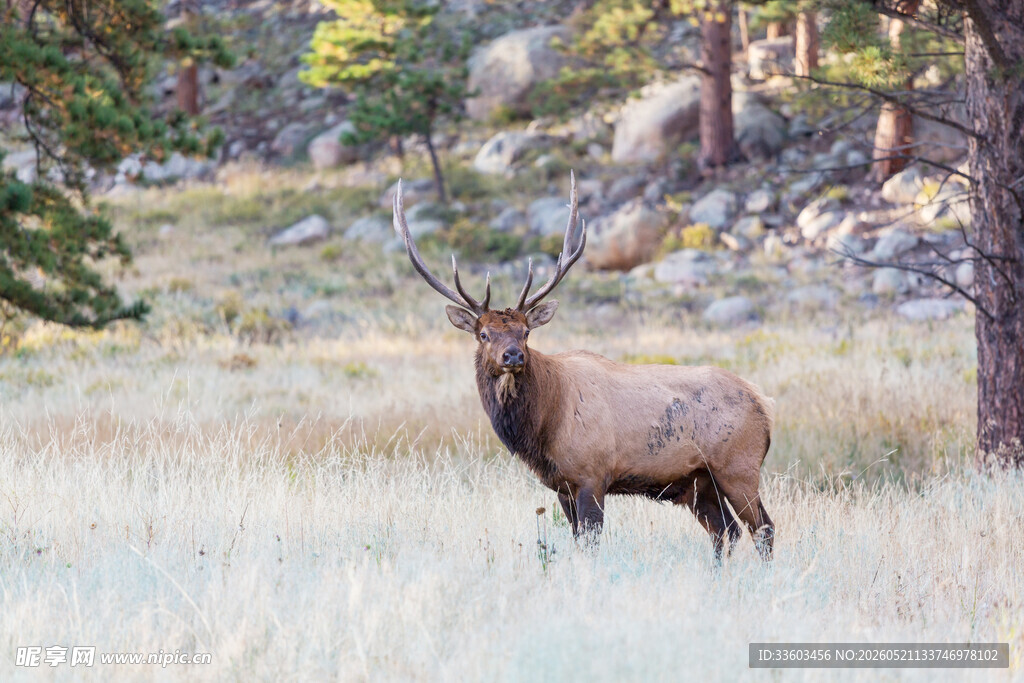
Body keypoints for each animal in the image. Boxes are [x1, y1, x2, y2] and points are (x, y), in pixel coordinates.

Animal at [393, 172, 776, 561]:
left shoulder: (592, 473)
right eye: (483, 334)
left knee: (763, 529)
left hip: (739, 466)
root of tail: (763, 403)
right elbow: (576, 538)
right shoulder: (562, 485)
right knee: (726, 530)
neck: (544, 424)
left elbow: (590, 542)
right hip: (698, 481)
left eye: (526, 332)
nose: (513, 356)